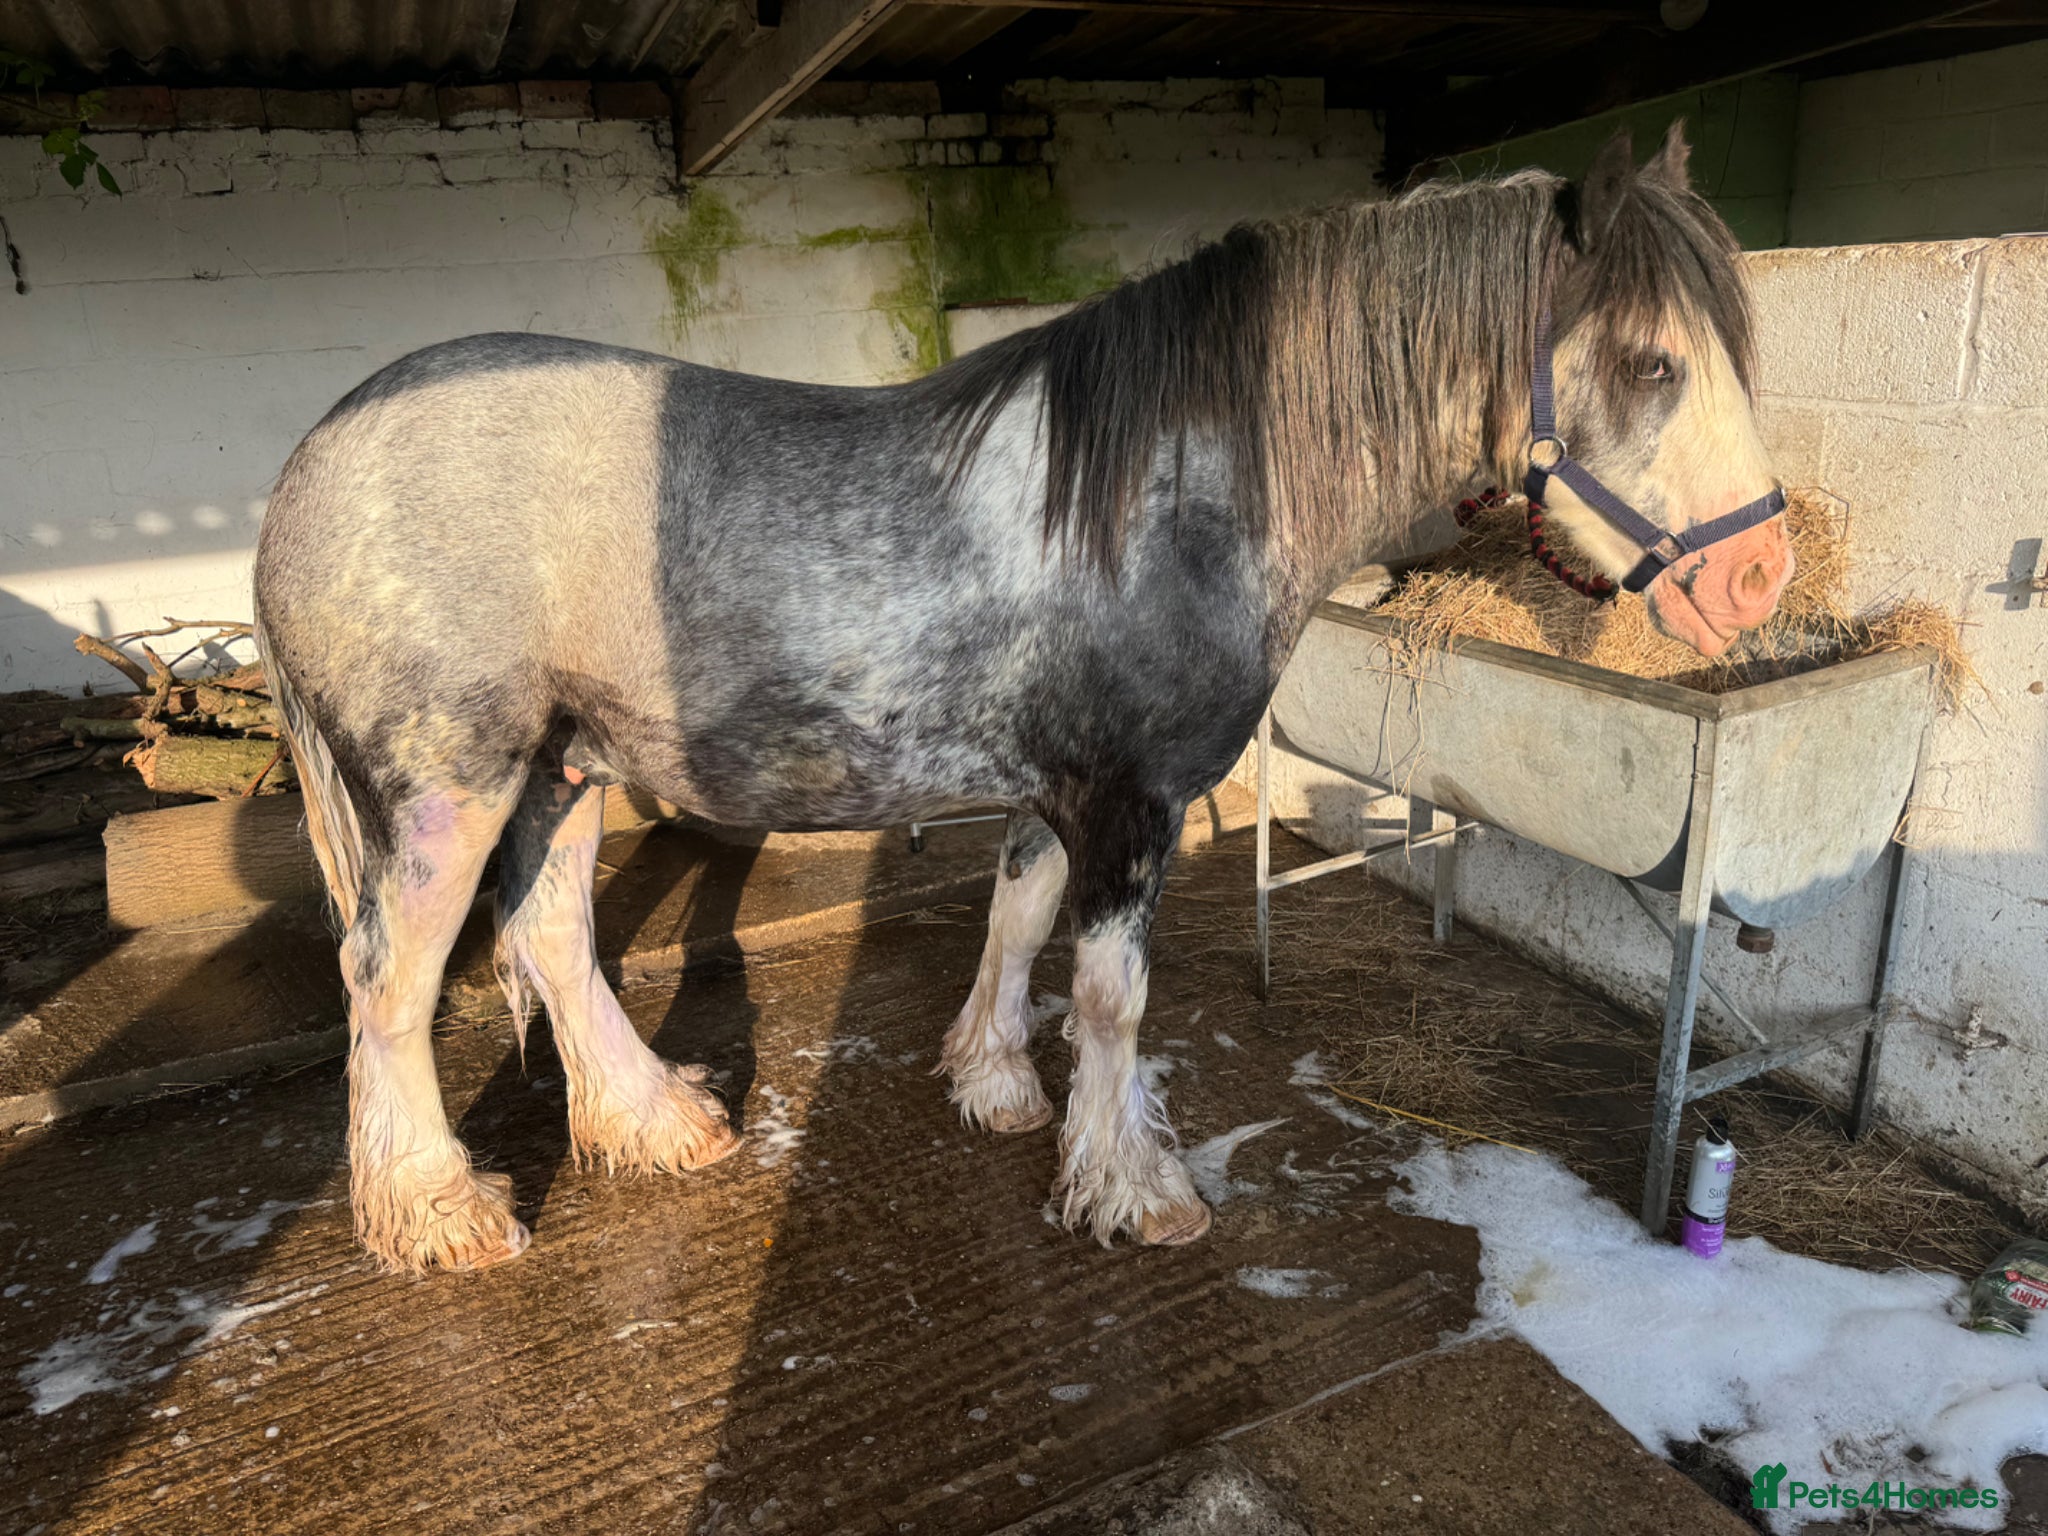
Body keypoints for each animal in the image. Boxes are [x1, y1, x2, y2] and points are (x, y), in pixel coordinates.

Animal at [252, 124, 1794, 1273]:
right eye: (1651, 360)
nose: (1761, 573)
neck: (1170, 491)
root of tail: (312, 459)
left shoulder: (1056, 791)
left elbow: (1013, 921)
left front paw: (991, 1085)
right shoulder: (1131, 801)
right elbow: (1110, 994)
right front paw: (1129, 1187)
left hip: (564, 765)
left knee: (554, 937)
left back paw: (655, 1123)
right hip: (447, 788)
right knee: (388, 978)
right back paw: (436, 1212)